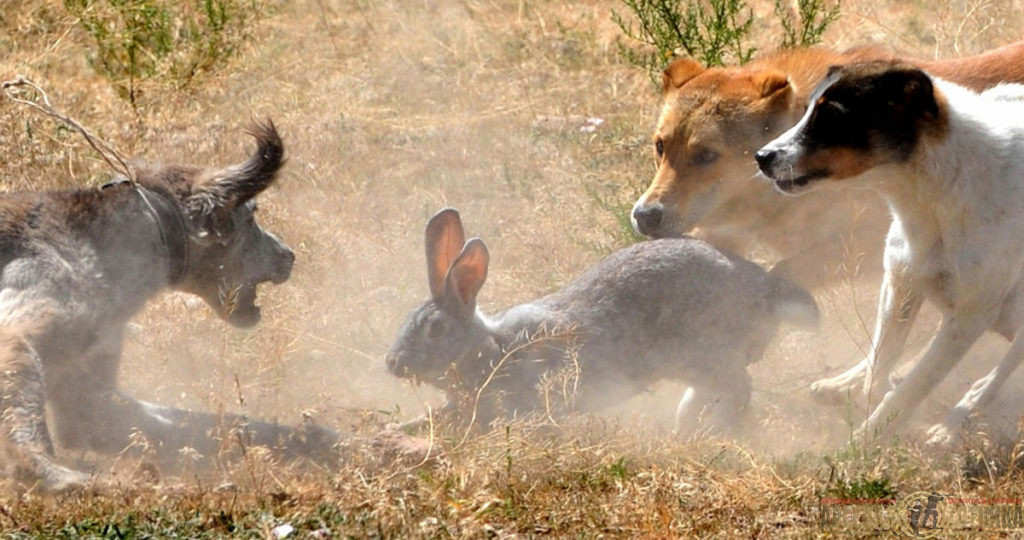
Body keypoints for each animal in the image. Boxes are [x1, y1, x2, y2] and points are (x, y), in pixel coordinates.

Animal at [385, 209, 815, 436]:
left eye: (435, 328)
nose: (392, 364)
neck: (489, 347)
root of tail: (764, 289)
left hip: (709, 353)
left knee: (739, 390)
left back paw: (715, 430)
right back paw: (683, 428)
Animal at [757, 61, 1024, 446]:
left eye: (831, 116)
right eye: (806, 111)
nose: (761, 157)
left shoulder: (969, 317)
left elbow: (912, 388)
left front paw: (866, 441)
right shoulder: (900, 284)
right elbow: (881, 363)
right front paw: (864, 399)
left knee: (999, 371)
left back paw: (955, 421)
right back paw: (844, 382)